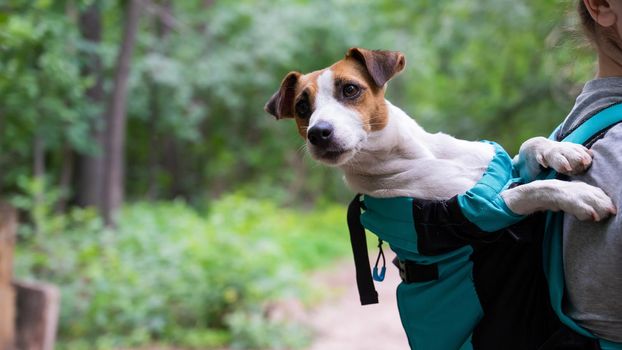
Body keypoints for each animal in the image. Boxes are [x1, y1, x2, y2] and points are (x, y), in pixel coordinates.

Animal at [266, 47, 616, 220]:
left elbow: (527, 146)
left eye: (350, 89)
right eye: (302, 107)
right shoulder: (479, 206)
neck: (421, 154)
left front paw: (560, 150)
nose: (318, 133)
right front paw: (579, 195)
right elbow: (532, 189)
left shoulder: (503, 168)